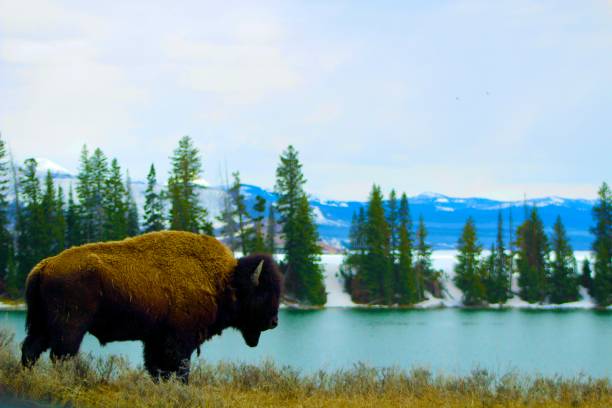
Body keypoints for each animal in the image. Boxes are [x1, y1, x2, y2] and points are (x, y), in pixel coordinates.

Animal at [20, 231, 284, 380]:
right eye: (264, 292)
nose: (274, 322)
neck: (224, 281)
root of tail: (45, 266)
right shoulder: (179, 341)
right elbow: (179, 371)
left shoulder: (155, 340)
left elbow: (157, 370)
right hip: (69, 329)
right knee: (60, 356)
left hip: (41, 325)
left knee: (31, 350)